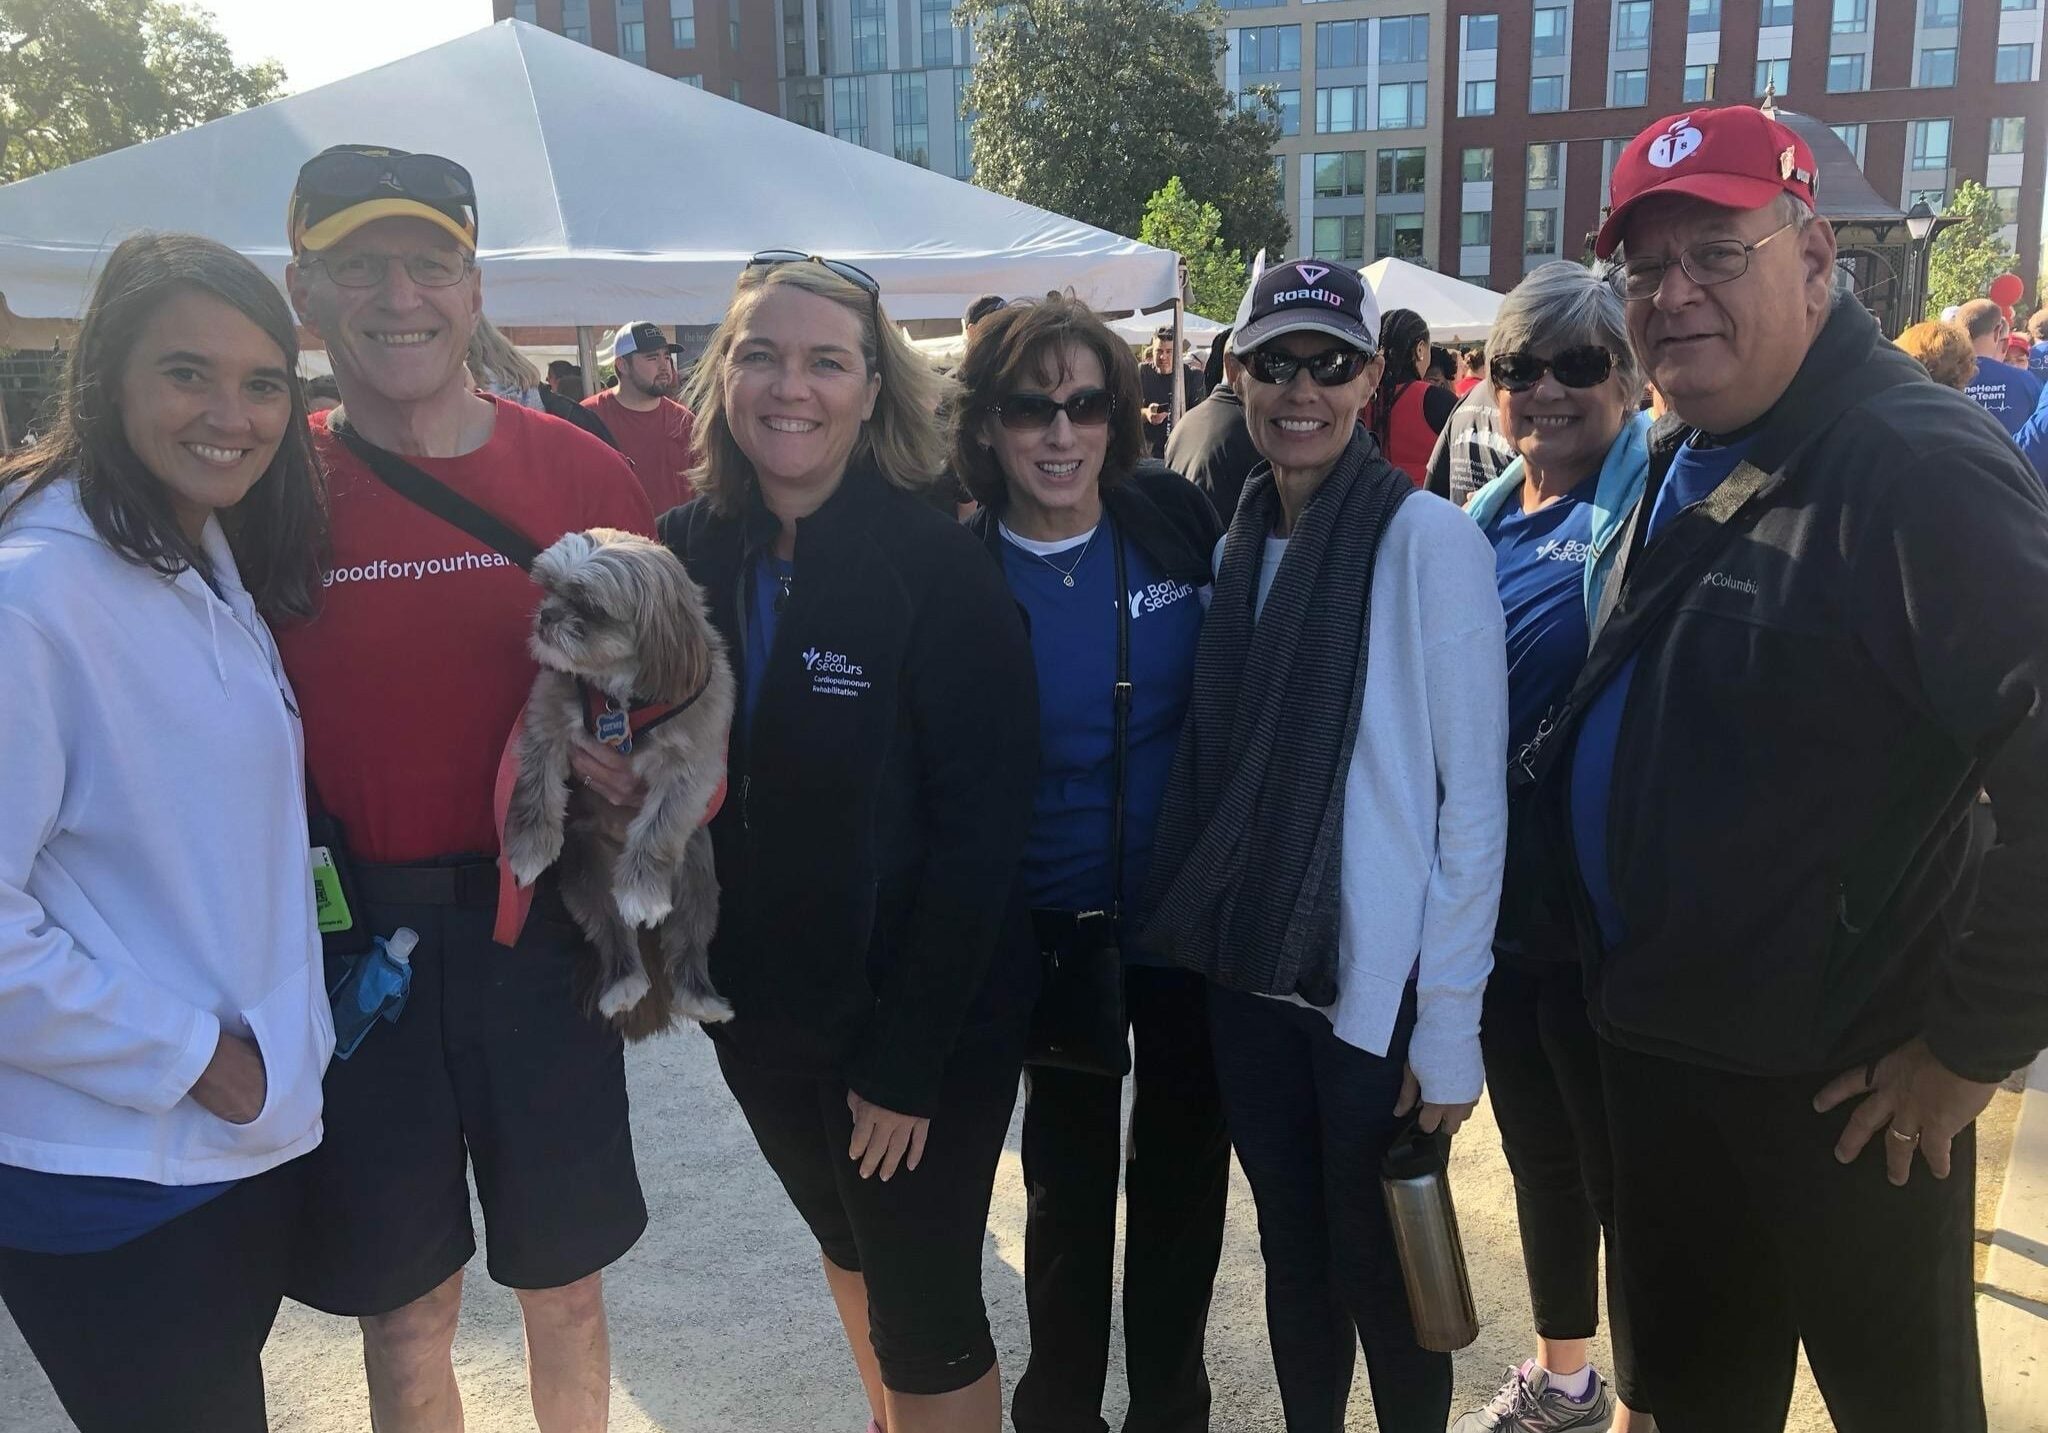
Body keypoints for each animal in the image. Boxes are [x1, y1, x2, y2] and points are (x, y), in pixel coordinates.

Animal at [503, 532, 737, 1035]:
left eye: (590, 607)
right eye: (549, 588)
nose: (547, 616)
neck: (619, 694)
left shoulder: (693, 766)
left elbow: (659, 825)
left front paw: (641, 891)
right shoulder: (547, 717)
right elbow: (534, 783)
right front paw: (530, 847)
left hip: (696, 872)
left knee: (689, 937)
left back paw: (700, 995)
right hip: (585, 873)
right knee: (612, 931)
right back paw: (623, 983)